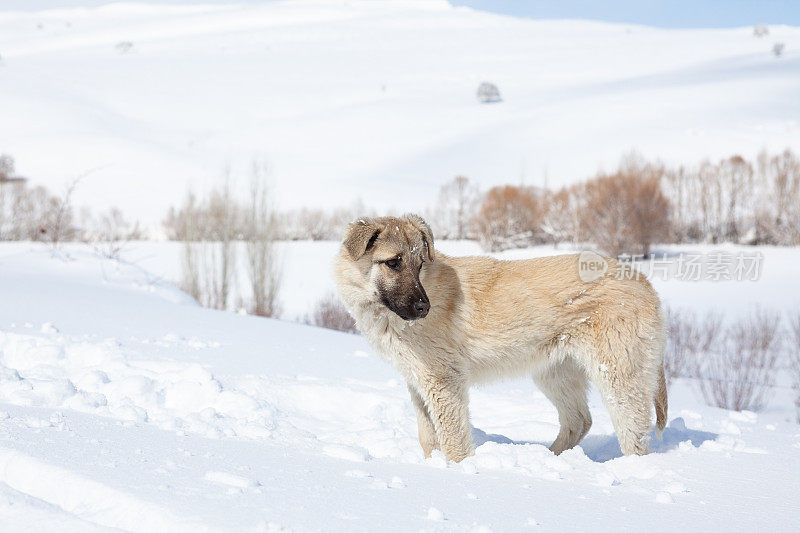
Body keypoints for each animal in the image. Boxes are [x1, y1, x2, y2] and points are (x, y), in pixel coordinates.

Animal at [332, 213, 668, 462]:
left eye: (420, 264)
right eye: (393, 263)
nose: (423, 308)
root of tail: (645, 282)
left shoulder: (444, 382)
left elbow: (453, 440)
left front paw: (458, 470)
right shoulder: (418, 383)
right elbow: (428, 437)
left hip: (617, 377)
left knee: (634, 432)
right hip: (555, 373)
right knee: (579, 421)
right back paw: (547, 458)